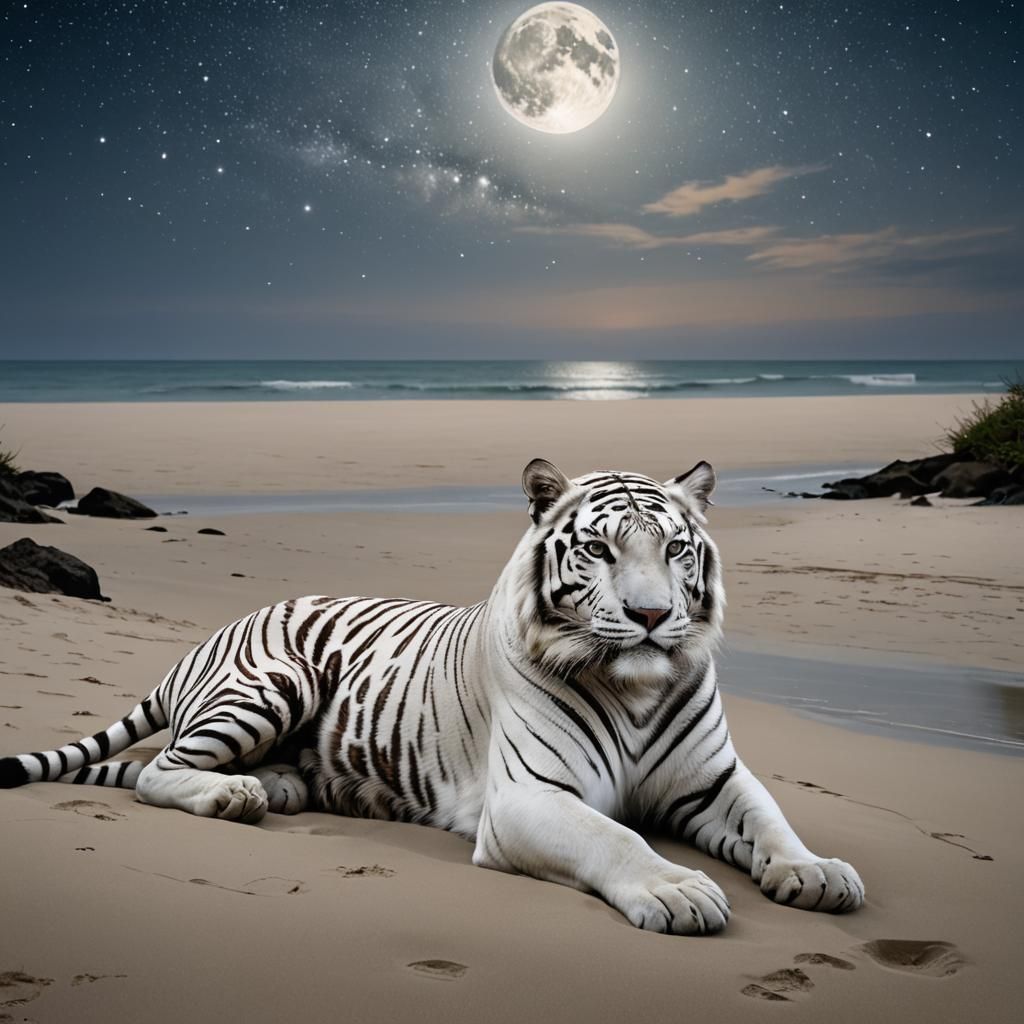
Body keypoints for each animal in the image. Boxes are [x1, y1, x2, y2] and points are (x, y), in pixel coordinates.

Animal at [1, 459, 863, 934]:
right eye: (598, 549)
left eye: (677, 549)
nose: (653, 616)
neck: (638, 689)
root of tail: (211, 634)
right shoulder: (528, 797)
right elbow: (613, 836)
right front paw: (676, 887)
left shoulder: (714, 779)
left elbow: (770, 820)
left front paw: (816, 871)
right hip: (278, 679)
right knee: (155, 772)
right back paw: (233, 795)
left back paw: (273, 786)